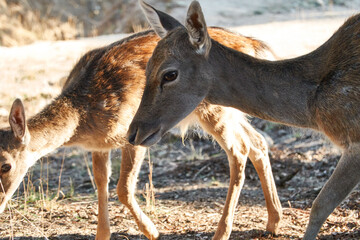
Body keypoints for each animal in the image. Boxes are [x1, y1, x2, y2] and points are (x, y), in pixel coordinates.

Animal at [0, 7, 282, 240]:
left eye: (5, 165)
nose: (0, 204)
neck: (83, 118)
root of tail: (253, 44)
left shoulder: (133, 131)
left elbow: (123, 188)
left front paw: (152, 231)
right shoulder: (99, 145)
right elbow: (101, 182)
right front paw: (102, 235)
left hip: (215, 109)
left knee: (239, 150)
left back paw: (222, 232)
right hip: (228, 111)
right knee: (257, 141)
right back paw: (273, 222)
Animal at [126, 0, 360, 239]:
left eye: (170, 74)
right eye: (146, 68)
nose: (133, 133)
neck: (311, 106)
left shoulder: (355, 139)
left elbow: (321, 204)